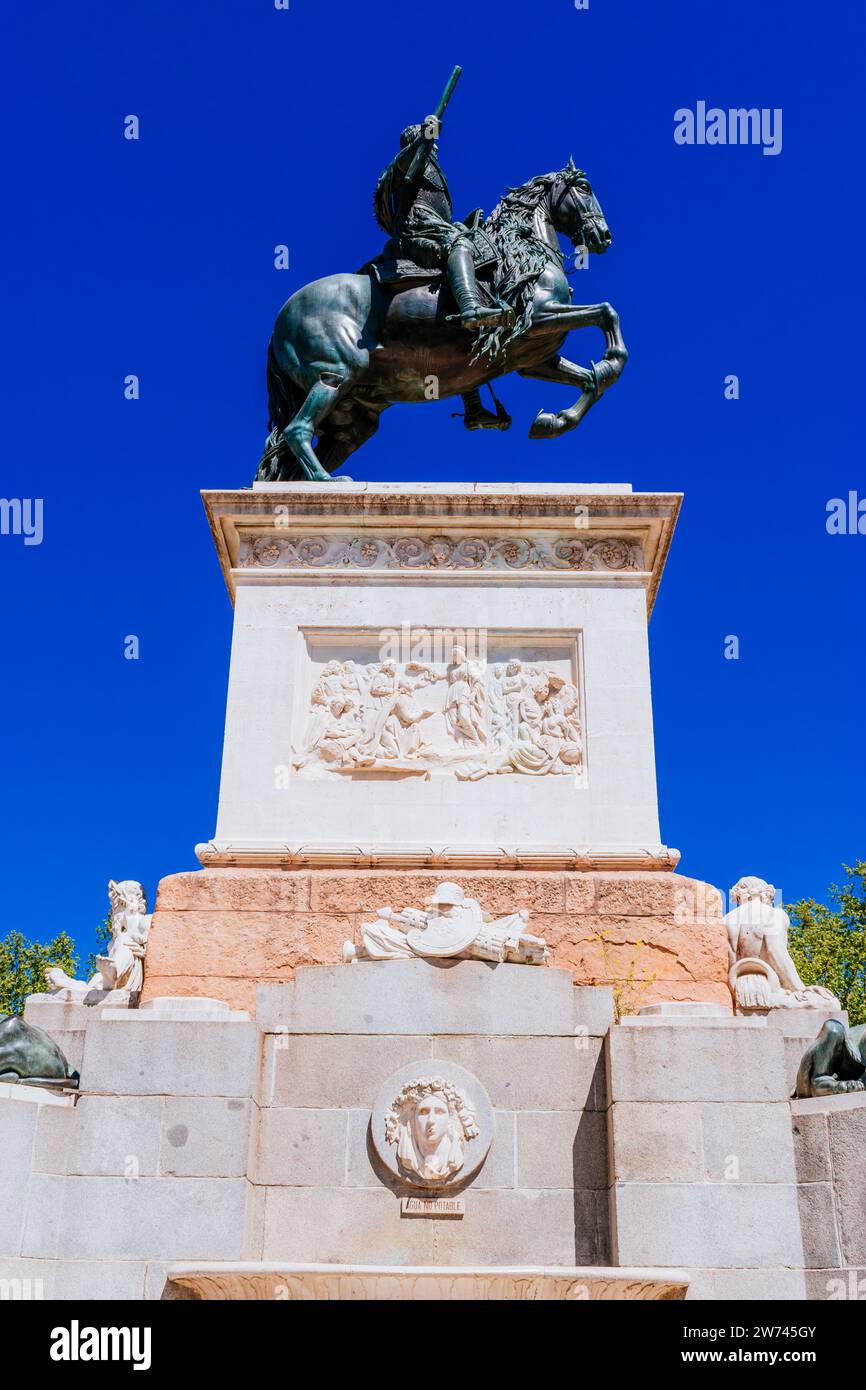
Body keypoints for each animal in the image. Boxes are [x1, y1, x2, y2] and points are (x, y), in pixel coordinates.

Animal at [257, 163, 631, 483]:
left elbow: (589, 381)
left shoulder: (534, 358)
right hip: (335, 376)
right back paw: (328, 481)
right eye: (584, 188)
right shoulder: (539, 317)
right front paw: (611, 362)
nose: (604, 236)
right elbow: (606, 312)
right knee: (297, 429)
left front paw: (552, 421)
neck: (523, 254)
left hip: (352, 421)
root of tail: (279, 323)